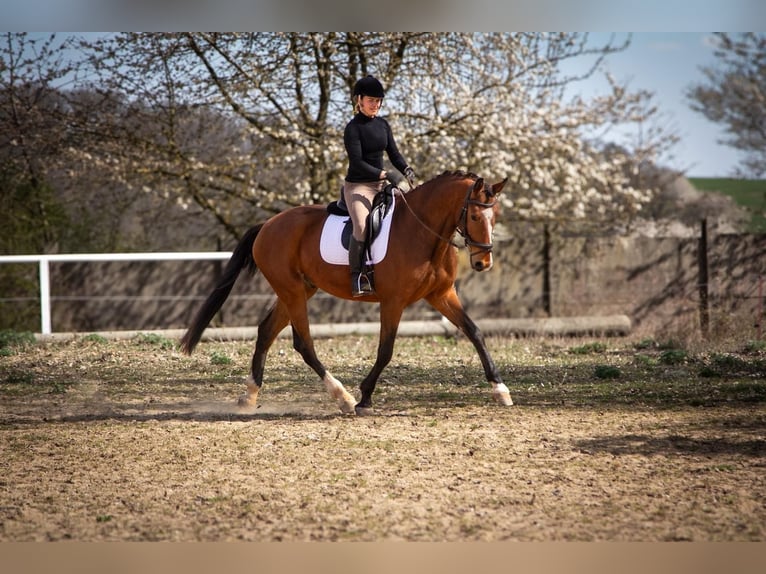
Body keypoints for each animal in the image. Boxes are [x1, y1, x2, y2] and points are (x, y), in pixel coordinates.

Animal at [180, 170, 513, 414]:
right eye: (474, 217)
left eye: (495, 217)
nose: (483, 263)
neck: (424, 233)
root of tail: (268, 225)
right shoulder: (393, 302)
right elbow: (385, 350)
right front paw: (365, 397)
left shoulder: (442, 295)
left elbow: (475, 332)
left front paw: (500, 390)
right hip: (292, 291)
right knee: (303, 343)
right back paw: (343, 397)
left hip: (299, 290)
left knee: (266, 331)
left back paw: (249, 396)